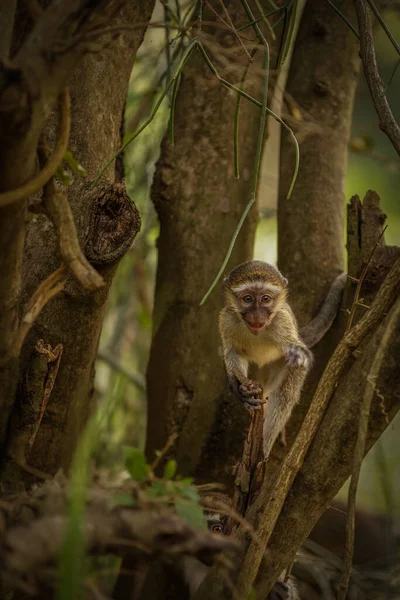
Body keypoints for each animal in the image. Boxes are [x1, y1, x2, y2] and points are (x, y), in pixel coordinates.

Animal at [219, 258, 346, 460]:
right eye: (248, 299)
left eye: (265, 299)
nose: (257, 316)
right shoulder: (226, 319)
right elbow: (232, 352)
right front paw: (239, 388)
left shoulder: (283, 321)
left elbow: (299, 361)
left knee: (284, 392)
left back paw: (262, 451)